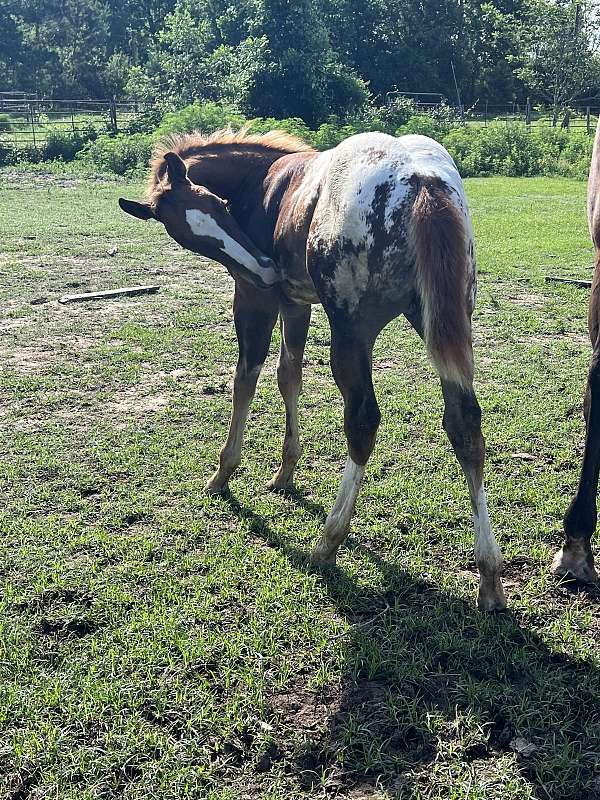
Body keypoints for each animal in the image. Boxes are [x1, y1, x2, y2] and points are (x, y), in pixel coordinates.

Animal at [119, 128, 506, 611]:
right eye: (190, 237)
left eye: (221, 206)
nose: (265, 267)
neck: (262, 180)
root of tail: (421, 180)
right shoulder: (294, 302)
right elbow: (289, 376)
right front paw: (285, 471)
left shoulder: (256, 298)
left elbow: (245, 378)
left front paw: (224, 472)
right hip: (443, 319)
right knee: (465, 424)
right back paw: (489, 574)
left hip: (352, 329)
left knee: (363, 420)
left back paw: (328, 540)